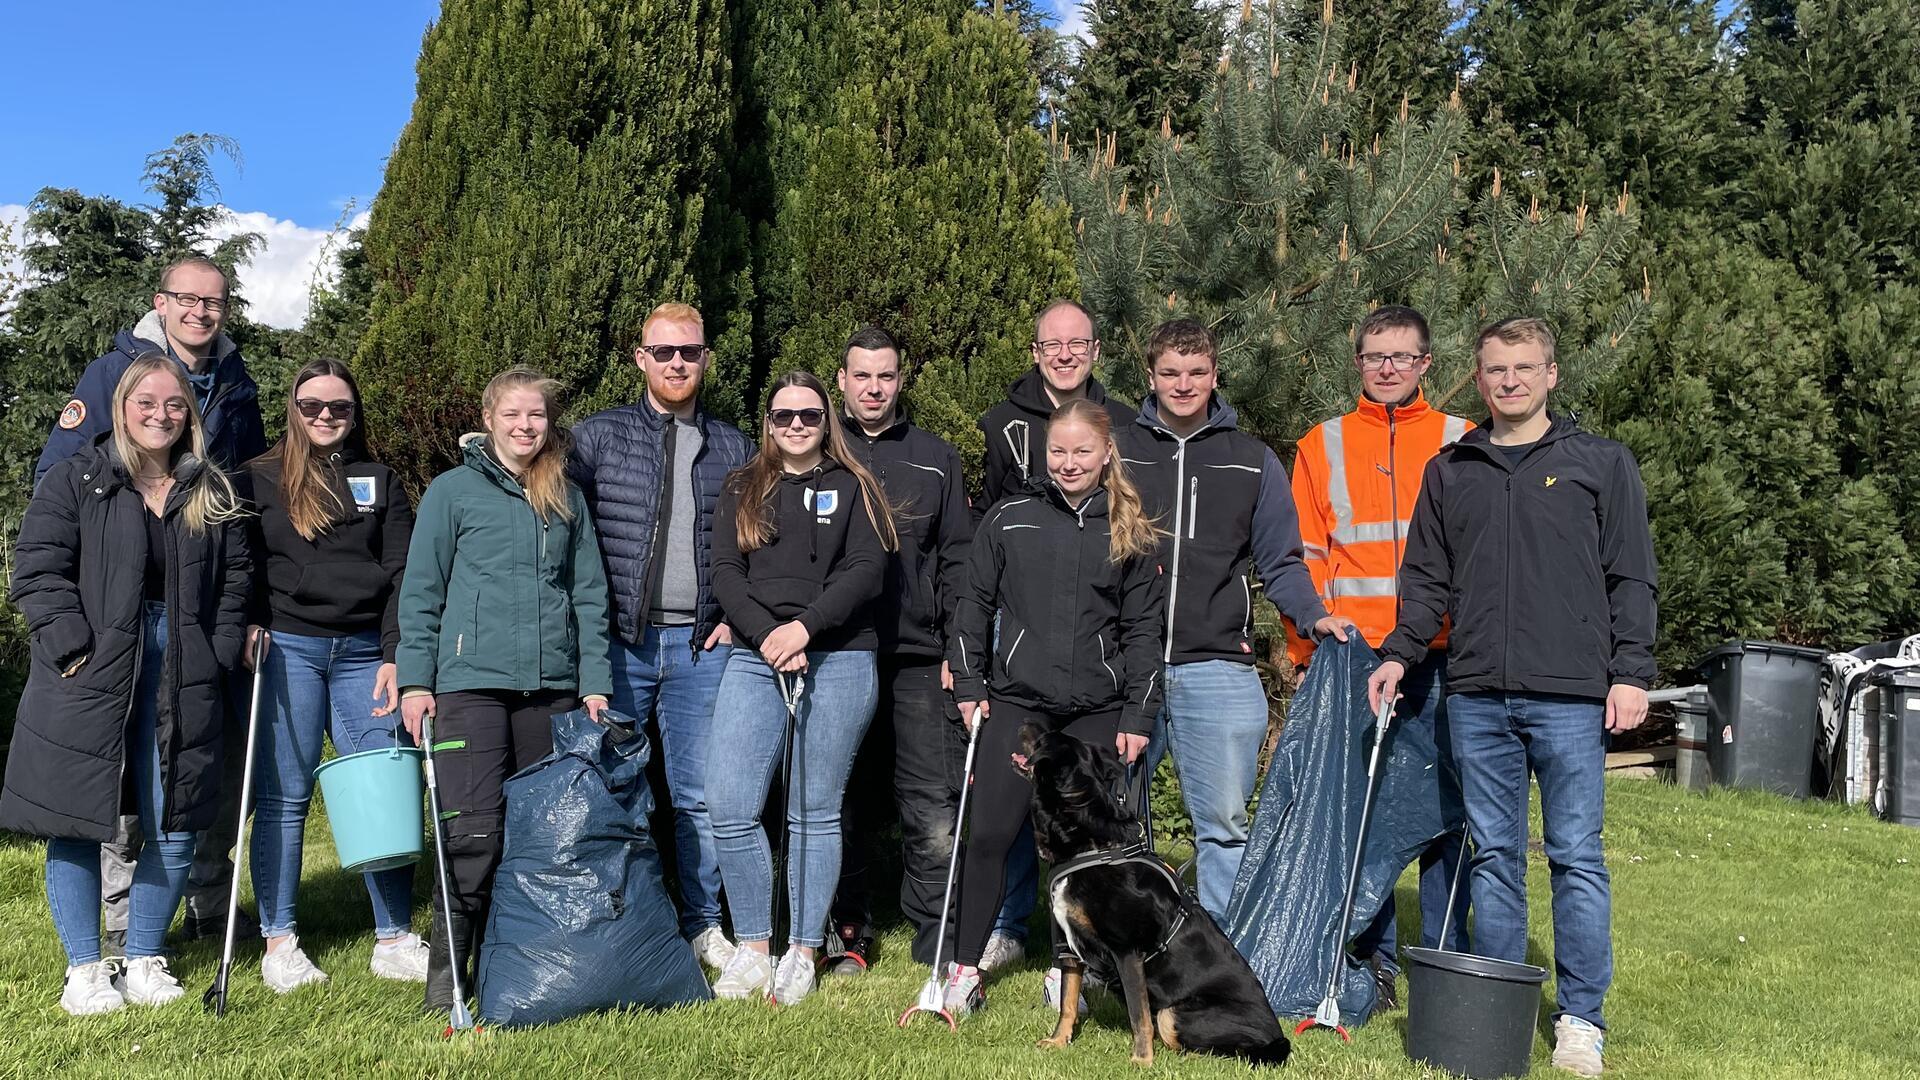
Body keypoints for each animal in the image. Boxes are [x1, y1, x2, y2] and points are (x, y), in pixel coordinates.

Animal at [1021, 718, 1290, 1060]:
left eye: (1042, 739)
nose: (1026, 721)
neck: (1089, 844)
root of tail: (1277, 1038)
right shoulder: (1068, 947)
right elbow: (1067, 1003)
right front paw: (1058, 1041)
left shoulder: (1127, 951)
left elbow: (1139, 1015)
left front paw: (1141, 1060)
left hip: (1174, 1014)